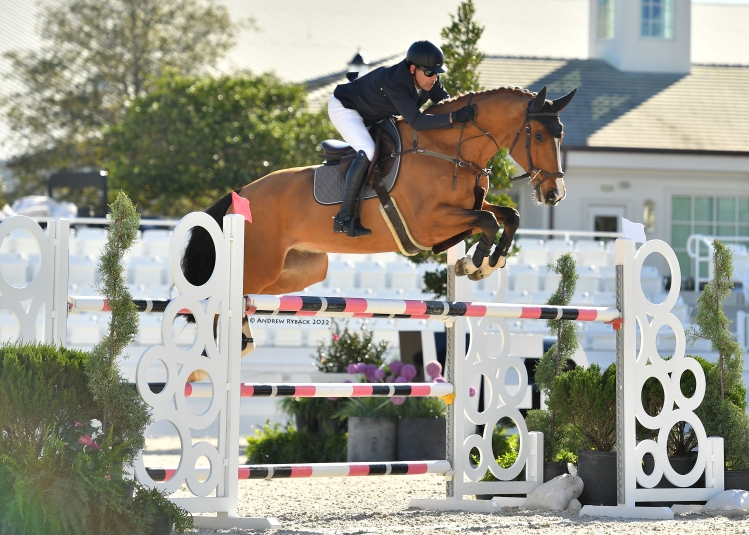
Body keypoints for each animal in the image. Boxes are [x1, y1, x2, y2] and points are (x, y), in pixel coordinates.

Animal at [184, 85, 576, 382]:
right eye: (539, 135)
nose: (554, 194)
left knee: (244, 295)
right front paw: (475, 263)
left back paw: (238, 344)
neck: (449, 151)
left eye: (561, 137)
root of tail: (241, 194)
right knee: (219, 296)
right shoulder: (427, 225)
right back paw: (209, 357)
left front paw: (484, 264)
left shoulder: (459, 214)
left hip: (298, 271)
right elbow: (489, 221)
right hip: (261, 264)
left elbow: (507, 216)